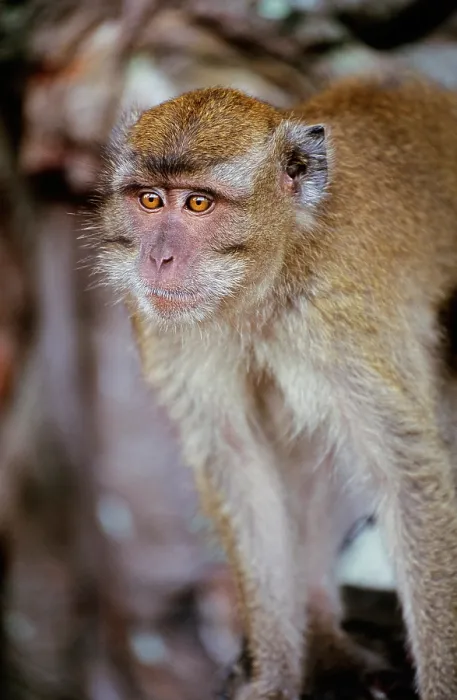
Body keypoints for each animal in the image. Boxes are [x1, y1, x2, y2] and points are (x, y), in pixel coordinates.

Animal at [90, 75, 457, 700]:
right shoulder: (166, 330)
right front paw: (277, 675)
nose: (157, 258)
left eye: (199, 203)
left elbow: (406, 474)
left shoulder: (339, 318)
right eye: (150, 200)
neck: (270, 277)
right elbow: (239, 463)